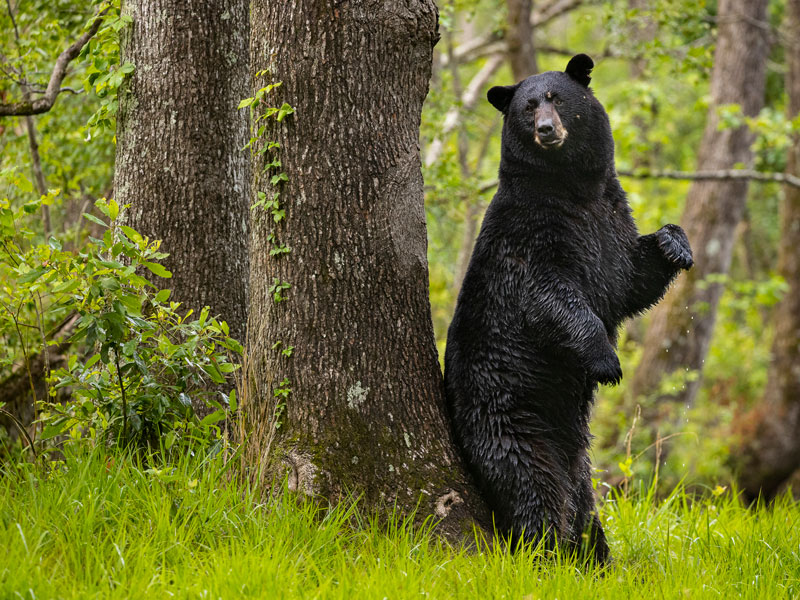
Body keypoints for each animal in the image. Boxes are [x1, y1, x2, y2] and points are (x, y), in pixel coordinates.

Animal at [443, 54, 693, 563]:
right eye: (527, 106)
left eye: (557, 99)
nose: (545, 129)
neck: (571, 189)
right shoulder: (532, 236)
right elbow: (550, 297)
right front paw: (606, 361)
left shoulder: (609, 220)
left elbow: (630, 278)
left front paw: (675, 243)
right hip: (513, 421)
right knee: (534, 489)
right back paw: (544, 555)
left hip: (578, 459)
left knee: (584, 507)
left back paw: (596, 560)